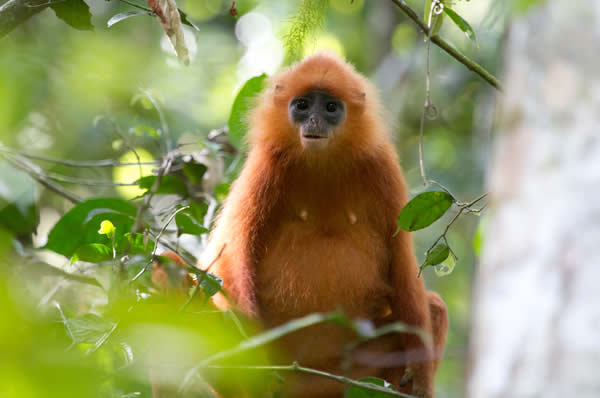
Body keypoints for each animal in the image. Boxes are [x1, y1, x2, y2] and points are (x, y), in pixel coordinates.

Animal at [200, 52, 446, 398]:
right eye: (302, 105)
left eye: (330, 108)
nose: (314, 121)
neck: (322, 161)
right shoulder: (266, 165)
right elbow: (230, 256)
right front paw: (255, 356)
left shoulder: (382, 165)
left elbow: (401, 263)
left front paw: (421, 374)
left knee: (434, 306)